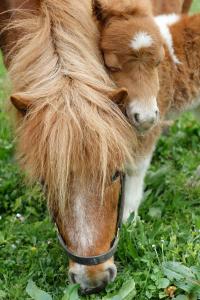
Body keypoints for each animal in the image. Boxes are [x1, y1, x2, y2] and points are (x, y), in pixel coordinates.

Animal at [93, 0, 200, 220]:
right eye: (112, 65)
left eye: (158, 62)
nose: (145, 117)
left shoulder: (149, 127)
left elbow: (135, 168)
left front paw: (128, 219)